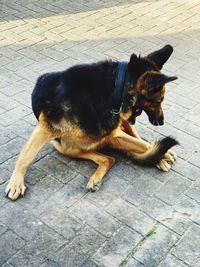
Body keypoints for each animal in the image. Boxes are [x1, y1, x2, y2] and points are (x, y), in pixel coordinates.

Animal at [5, 44, 178, 201]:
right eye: (158, 102)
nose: (161, 122)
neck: (113, 90)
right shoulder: (46, 128)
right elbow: (26, 157)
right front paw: (16, 182)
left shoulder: (113, 132)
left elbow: (142, 144)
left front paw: (163, 153)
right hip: (66, 147)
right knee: (108, 158)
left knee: (131, 142)